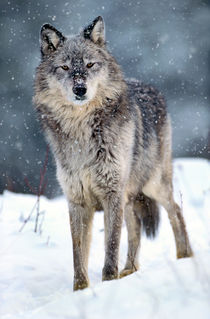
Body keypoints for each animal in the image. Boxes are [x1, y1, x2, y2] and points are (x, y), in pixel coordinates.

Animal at [34, 16, 194, 292]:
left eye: (90, 64)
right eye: (65, 67)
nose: (80, 89)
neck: (82, 133)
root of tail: (151, 87)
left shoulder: (112, 193)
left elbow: (111, 245)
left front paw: (109, 281)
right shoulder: (77, 200)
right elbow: (78, 253)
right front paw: (81, 289)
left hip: (153, 185)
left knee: (176, 212)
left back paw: (184, 257)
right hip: (130, 195)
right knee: (136, 227)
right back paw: (130, 270)